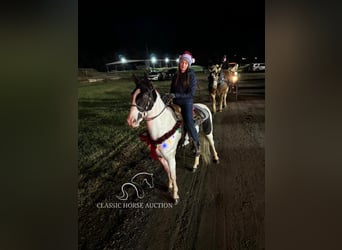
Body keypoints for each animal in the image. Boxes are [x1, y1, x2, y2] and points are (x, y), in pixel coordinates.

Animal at [127, 73, 220, 203]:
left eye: (145, 95)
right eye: (132, 94)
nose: (131, 121)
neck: (163, 126)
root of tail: (204, 107)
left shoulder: (171, 158)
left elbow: (173, 174)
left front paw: (175, 196)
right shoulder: (161, 157)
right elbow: (168, 173)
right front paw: (169, 186)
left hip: (208, 132)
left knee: (211, 143)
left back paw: (216, 158)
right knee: (198, 147)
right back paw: (195, 165)